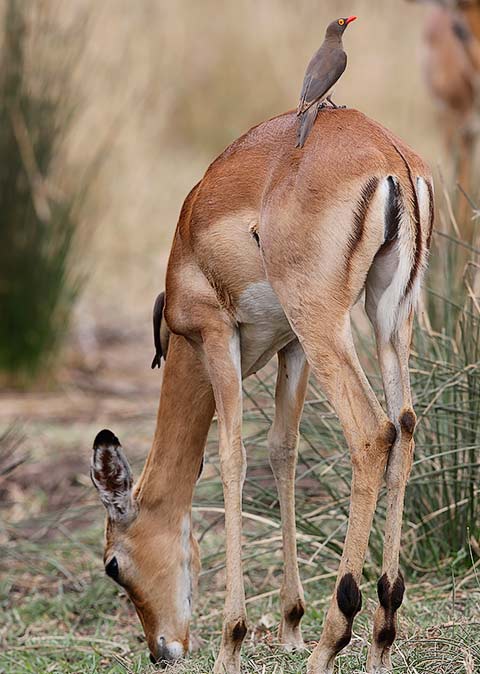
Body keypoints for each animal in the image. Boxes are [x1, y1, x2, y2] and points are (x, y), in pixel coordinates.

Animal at [90, 107, 433, 674]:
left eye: (113, 565)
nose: (163, 651)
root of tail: (391, 157)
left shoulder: (216, 336)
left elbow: (232, 456)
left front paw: (231, 642)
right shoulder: (289, 347)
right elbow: (281, 449)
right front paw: (290, 626)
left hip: (325, 324)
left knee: (372, 433)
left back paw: (330, 642)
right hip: (388, 317)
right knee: (404, 428)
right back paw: (382, 637)